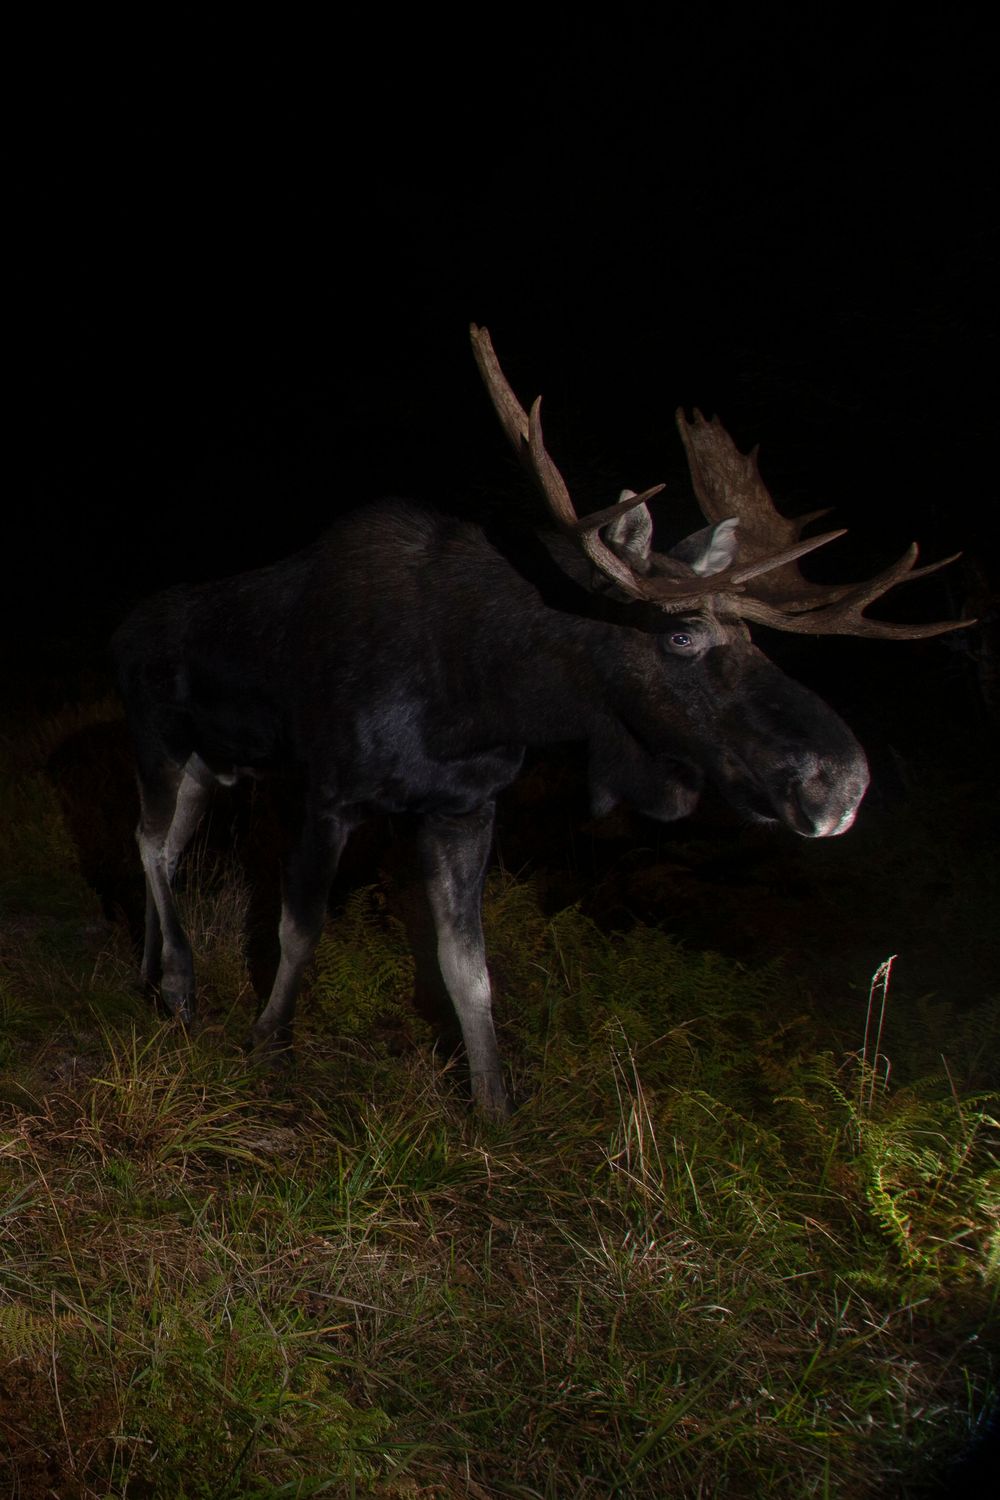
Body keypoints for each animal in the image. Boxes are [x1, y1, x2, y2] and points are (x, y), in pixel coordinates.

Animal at [111, 325, 966, 1115]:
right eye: (682, 636)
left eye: (755, 640)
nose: (841, 782)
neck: (477, 695)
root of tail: (123, 629)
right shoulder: (328, 790)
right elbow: (300, 929)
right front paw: (268, 1046)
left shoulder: (466, 807)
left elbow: (470, 971)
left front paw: (494, 1108)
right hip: (157, 739)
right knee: (152, 842)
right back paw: (180, 980)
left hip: (210, 763)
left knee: (162, 842)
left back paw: (153, 972)